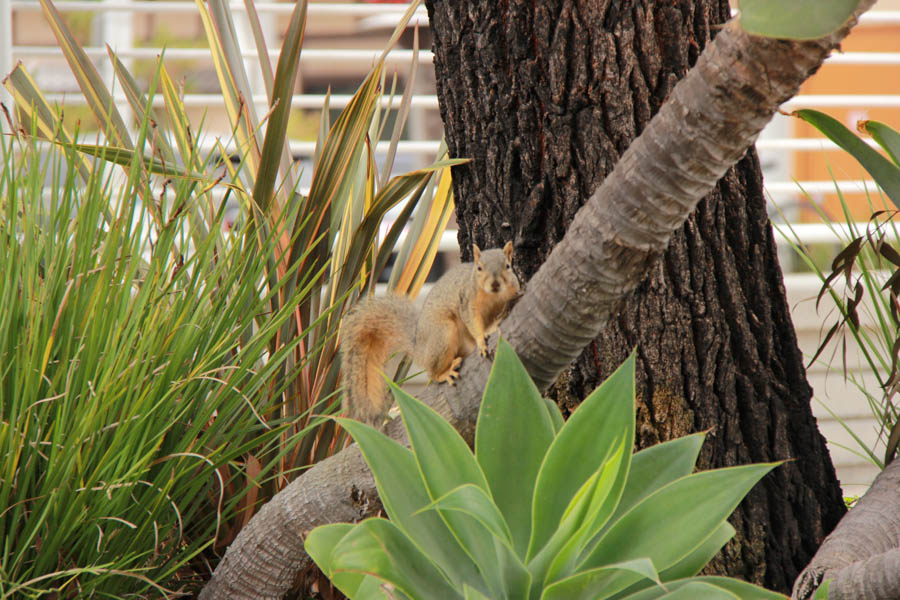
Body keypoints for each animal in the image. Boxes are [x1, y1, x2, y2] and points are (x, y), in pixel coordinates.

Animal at [340, 240, 520, 426]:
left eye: (508, 266)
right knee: (431, 373)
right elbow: (473, 321)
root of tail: (420, 347)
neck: (493, 296)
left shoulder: (511, 290)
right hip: (443, 334)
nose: (495, 284)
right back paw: (444, 373)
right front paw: (482, 340)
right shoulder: (468, 302)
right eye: (479, 268)